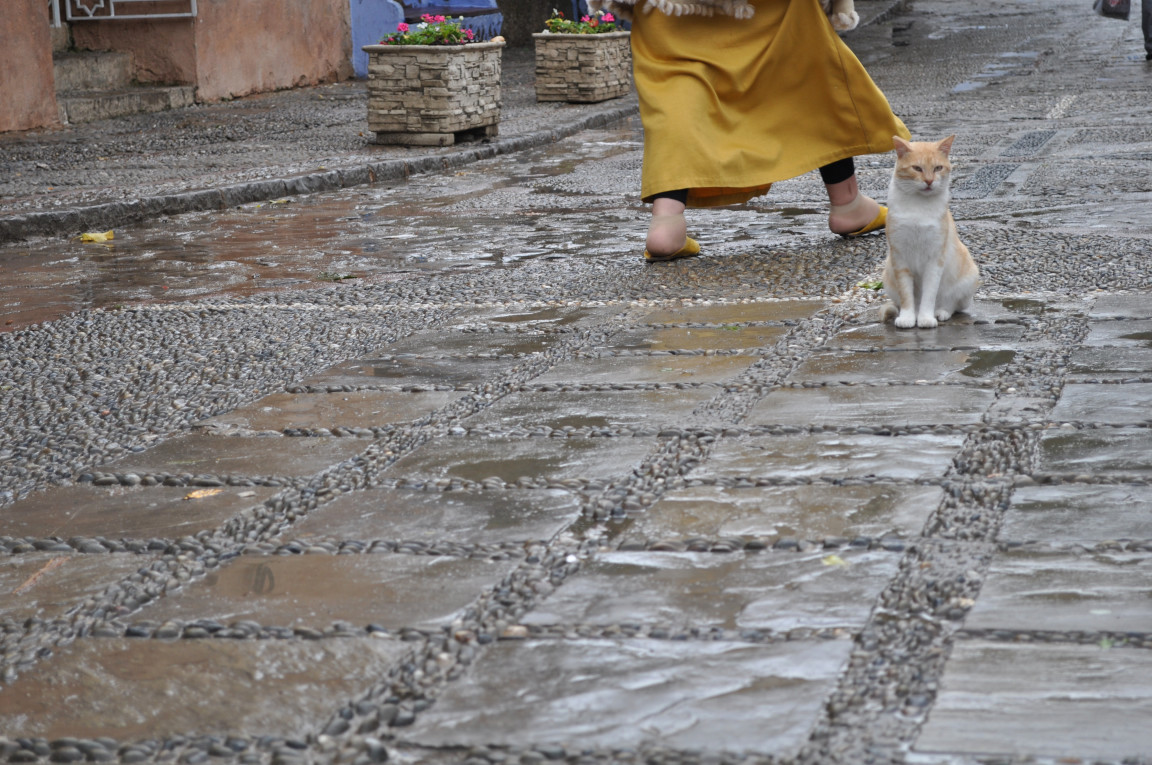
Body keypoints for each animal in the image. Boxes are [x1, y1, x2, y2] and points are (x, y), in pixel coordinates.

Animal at [880, 135, 981, 327]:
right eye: (917, 168)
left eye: (938, 168)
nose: (929, 181)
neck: (919, 205)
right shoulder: (899, 258)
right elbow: (906, 295)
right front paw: (907, 317)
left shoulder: (935, 259)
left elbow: (929, 293)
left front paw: (926, 318)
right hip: (888, 274)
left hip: (968, 276)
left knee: (952, 303)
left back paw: (940, 312)